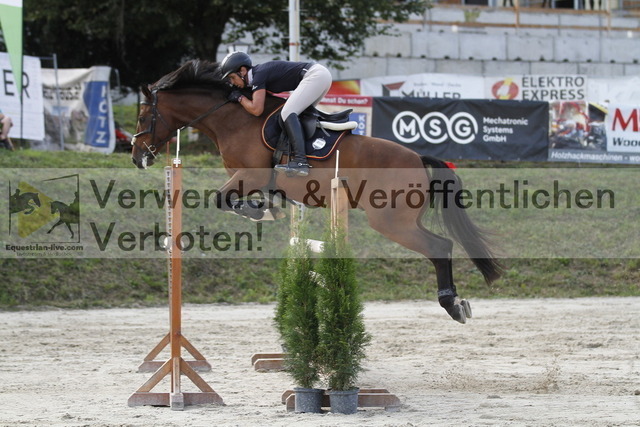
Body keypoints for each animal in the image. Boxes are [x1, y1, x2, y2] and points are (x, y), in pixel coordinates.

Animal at [131, 59, 503, 324]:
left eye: (144, 116)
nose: (136, 157)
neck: (232, 120)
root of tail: (417, 158)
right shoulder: (249, 179)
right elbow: (235, 198)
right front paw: (267, 207)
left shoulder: (250, 173)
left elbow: (221, 198)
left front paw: (259, 211)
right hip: (404, 219)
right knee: (441, 245)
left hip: (390, 222)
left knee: (440, 247)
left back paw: (452, 304)